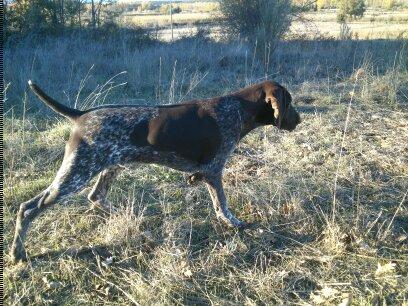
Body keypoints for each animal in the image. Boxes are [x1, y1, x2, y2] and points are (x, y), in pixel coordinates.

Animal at [9, 80, 302, 262]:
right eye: (289, 103)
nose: (299, 120)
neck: (237, 108)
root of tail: (81, 115)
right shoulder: (214, 170)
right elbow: (222, 206)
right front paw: (237, 224)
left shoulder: (205, 172)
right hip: (77, 172)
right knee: (28, 208)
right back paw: (17, 253)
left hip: (110, 165)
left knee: (96, 197)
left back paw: (131, 218)